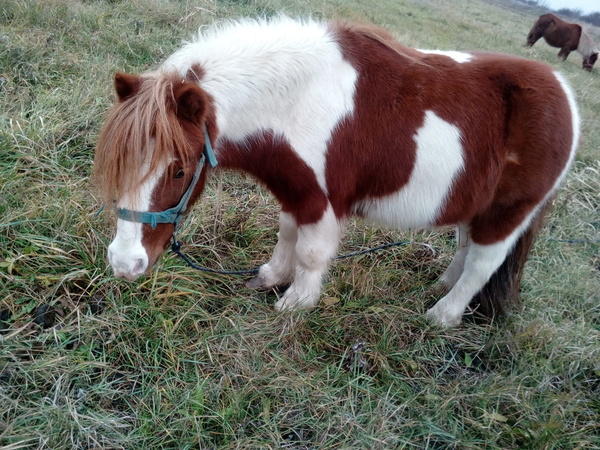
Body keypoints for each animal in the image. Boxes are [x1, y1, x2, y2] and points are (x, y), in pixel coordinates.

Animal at [92, 18, 576, 326]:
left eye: (178, 171)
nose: (124, 263)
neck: (299, 99)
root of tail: (564, 94)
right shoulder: (294, 188)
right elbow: (287, 234)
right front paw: (270, 277)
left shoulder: (322, 199)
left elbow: (310, 252)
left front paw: (297, 303)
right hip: (477, 203)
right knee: (465, 246)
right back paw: (440, 283)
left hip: (509, 213)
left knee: (483, 262)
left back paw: (443, 315)